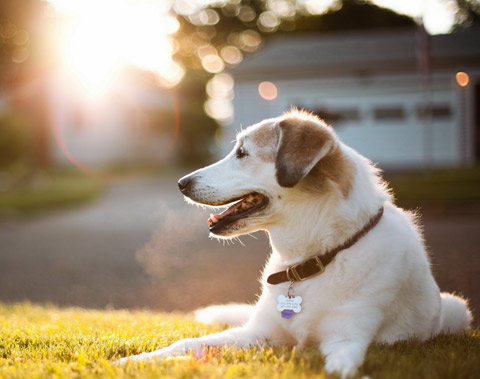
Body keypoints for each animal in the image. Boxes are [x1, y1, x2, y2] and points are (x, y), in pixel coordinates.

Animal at [117, 109, 472, 378]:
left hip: (457, 309)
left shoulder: (346, 338)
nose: (181, 183)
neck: (311, 261)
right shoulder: (256, 334)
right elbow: (187, 344)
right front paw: (134, 361)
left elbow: (341, 366)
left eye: (242, 153)